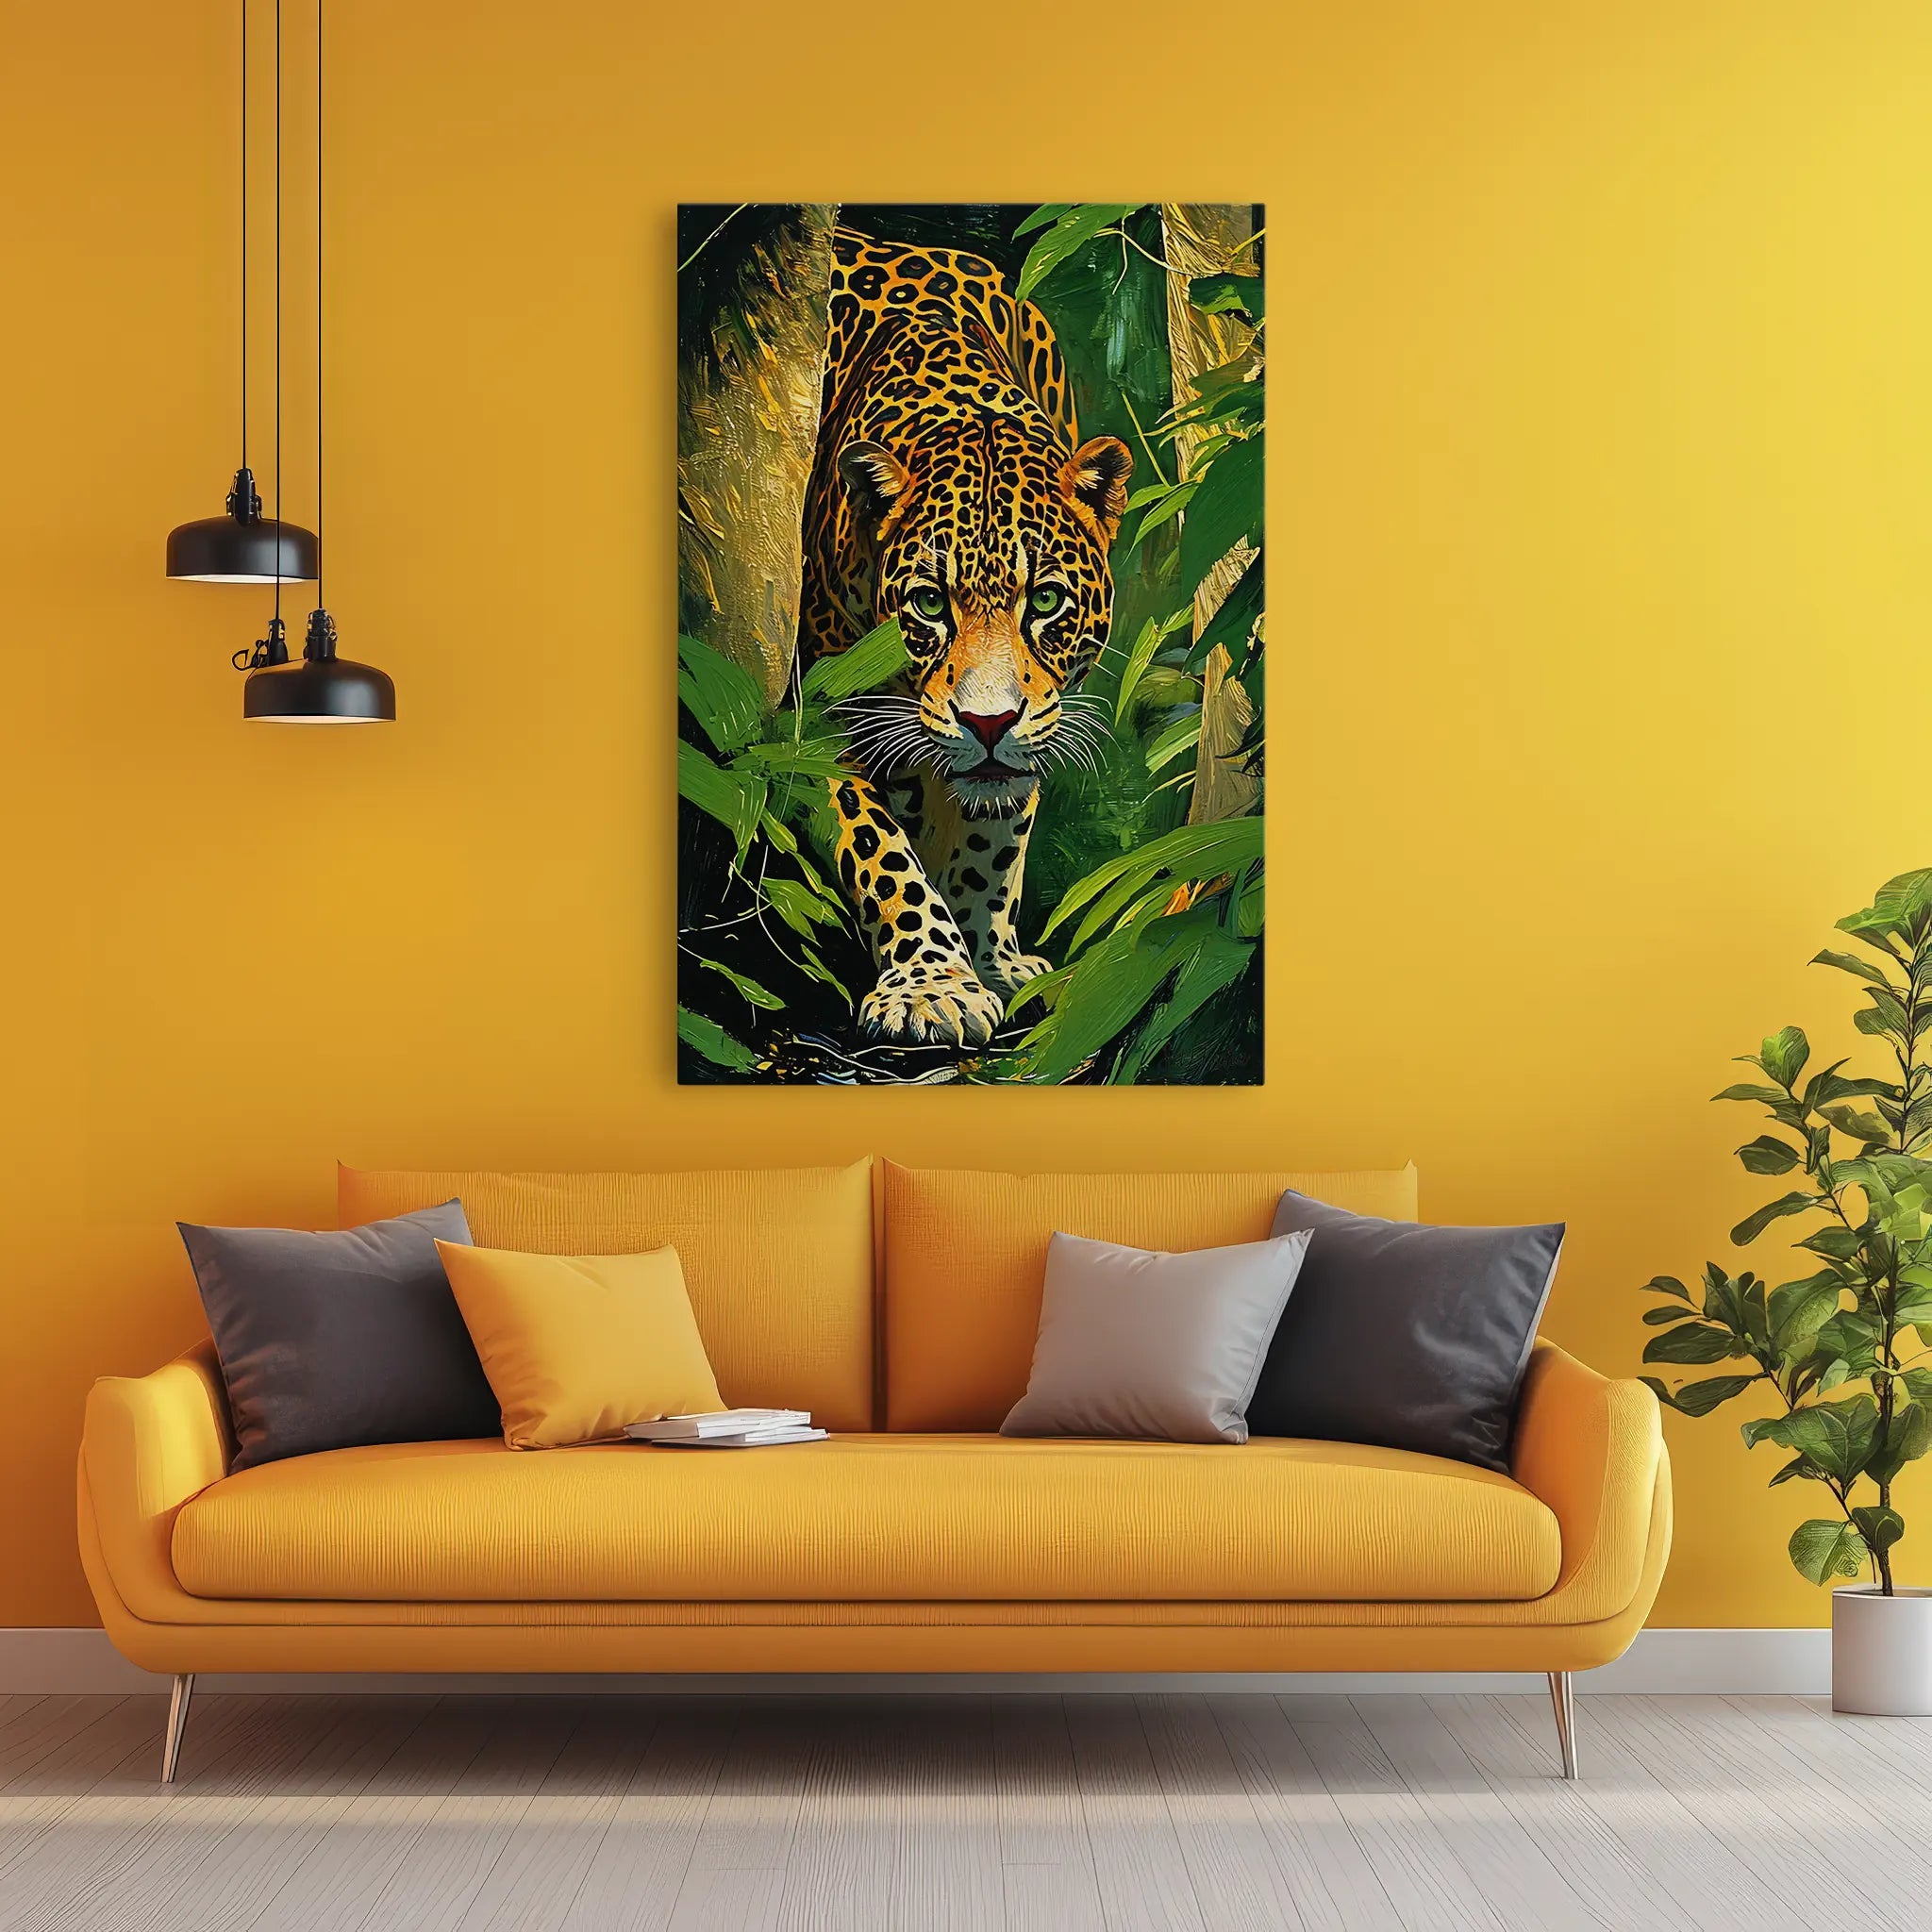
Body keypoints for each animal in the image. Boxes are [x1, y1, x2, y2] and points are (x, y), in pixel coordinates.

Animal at [799, 225, 1133, 1049]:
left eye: (1044, 600)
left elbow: (995, 838)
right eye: (927, 603)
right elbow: (881, 852)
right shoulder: (822, 717)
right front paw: (933, 984)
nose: (988, 723)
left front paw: (990, 958)